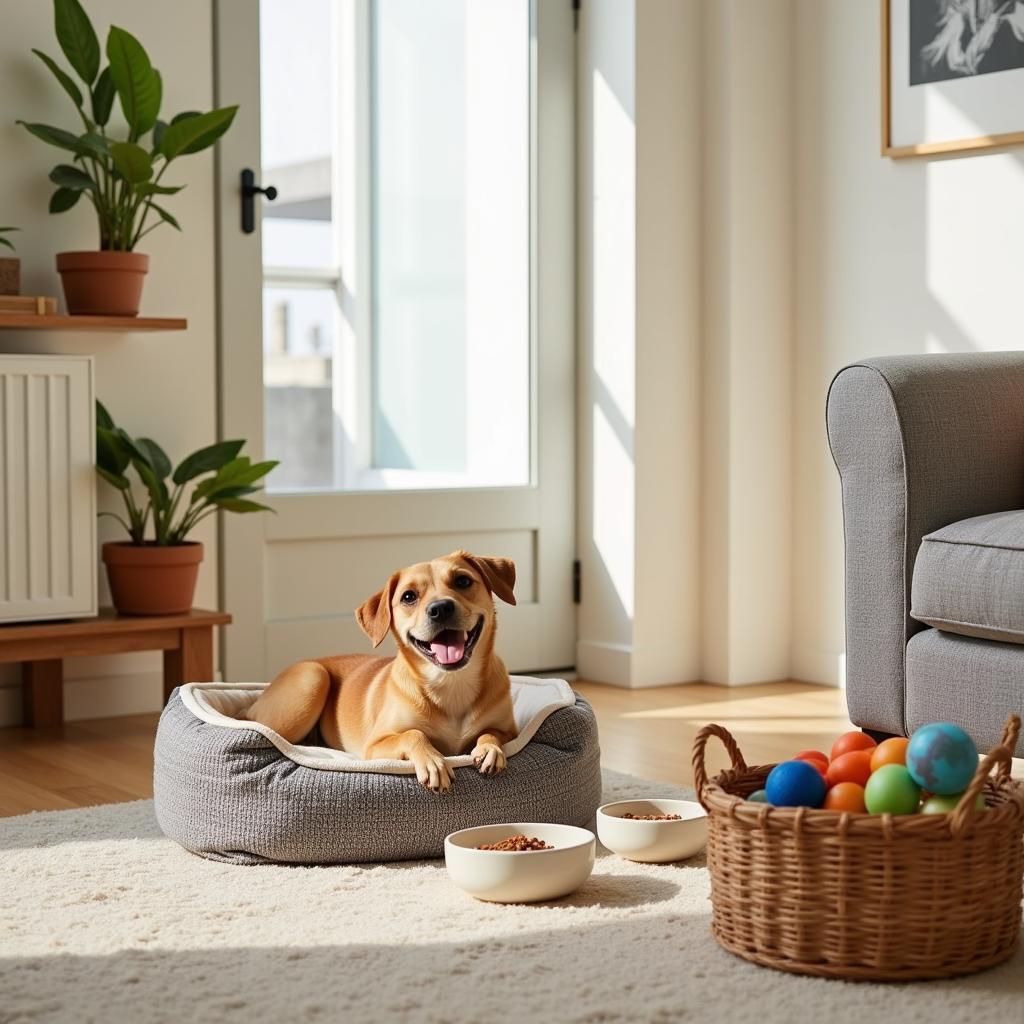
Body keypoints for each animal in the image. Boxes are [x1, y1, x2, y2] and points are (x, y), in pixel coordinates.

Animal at [244, 552, 520, 790]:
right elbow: (413, 734)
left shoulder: (510, 731)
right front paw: (433, 761)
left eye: (462, 581)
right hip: (312, 678)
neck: (450, 682)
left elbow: (491, 732)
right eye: (408, 597)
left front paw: (490, 749)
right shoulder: (375, 746)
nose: (440, 608)